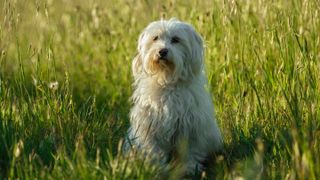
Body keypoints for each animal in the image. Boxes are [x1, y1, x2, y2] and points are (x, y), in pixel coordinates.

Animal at [124, 18, 222, 174]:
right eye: (155, 38)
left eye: (176, 39)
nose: (162, 51)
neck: (167, 81)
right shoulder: (150, 126)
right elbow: (154, 150)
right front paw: (158, 168)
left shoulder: (191, 126)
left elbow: (190, 150)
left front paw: (190, 167)